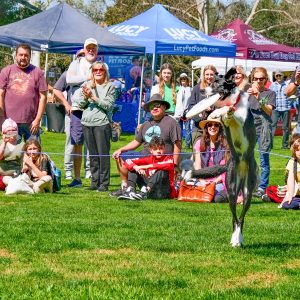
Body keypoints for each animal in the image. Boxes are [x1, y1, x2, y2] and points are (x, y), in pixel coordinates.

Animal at [185, 68, 258, 246]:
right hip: (232, 190)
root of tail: (238, 164)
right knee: (235, 218)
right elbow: (222, 116)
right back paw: (235, 239)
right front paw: (216, 113)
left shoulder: (241, 118)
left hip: (247, 191)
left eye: (216, 83)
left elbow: (229, 111)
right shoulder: (225, 122)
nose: (202, 91)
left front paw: (221, 111)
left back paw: (238, 239)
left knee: (241, 217)